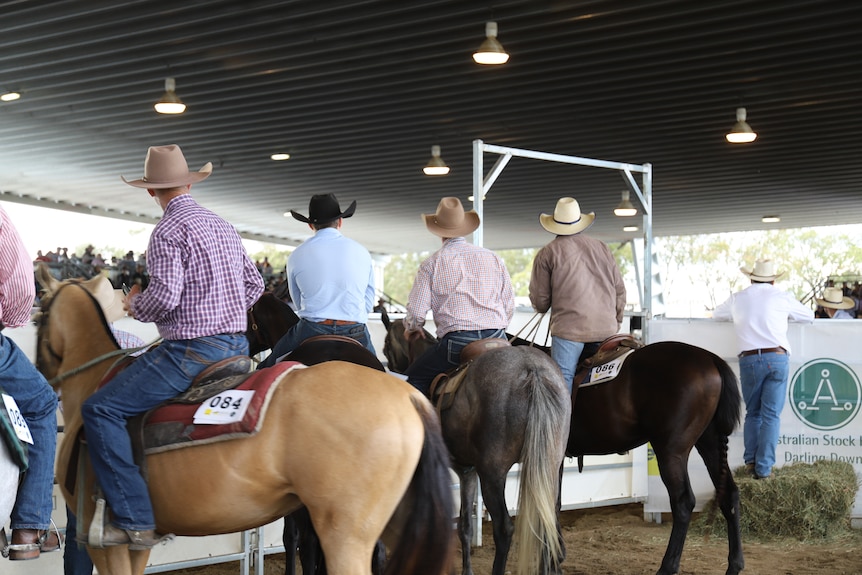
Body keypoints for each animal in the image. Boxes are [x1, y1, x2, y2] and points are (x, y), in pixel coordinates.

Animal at [33, 280, 456, 575]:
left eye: (39, 319)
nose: (43, 373)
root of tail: (406, 398)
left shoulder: (105, 542)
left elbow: (295, 541)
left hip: (345, 527)